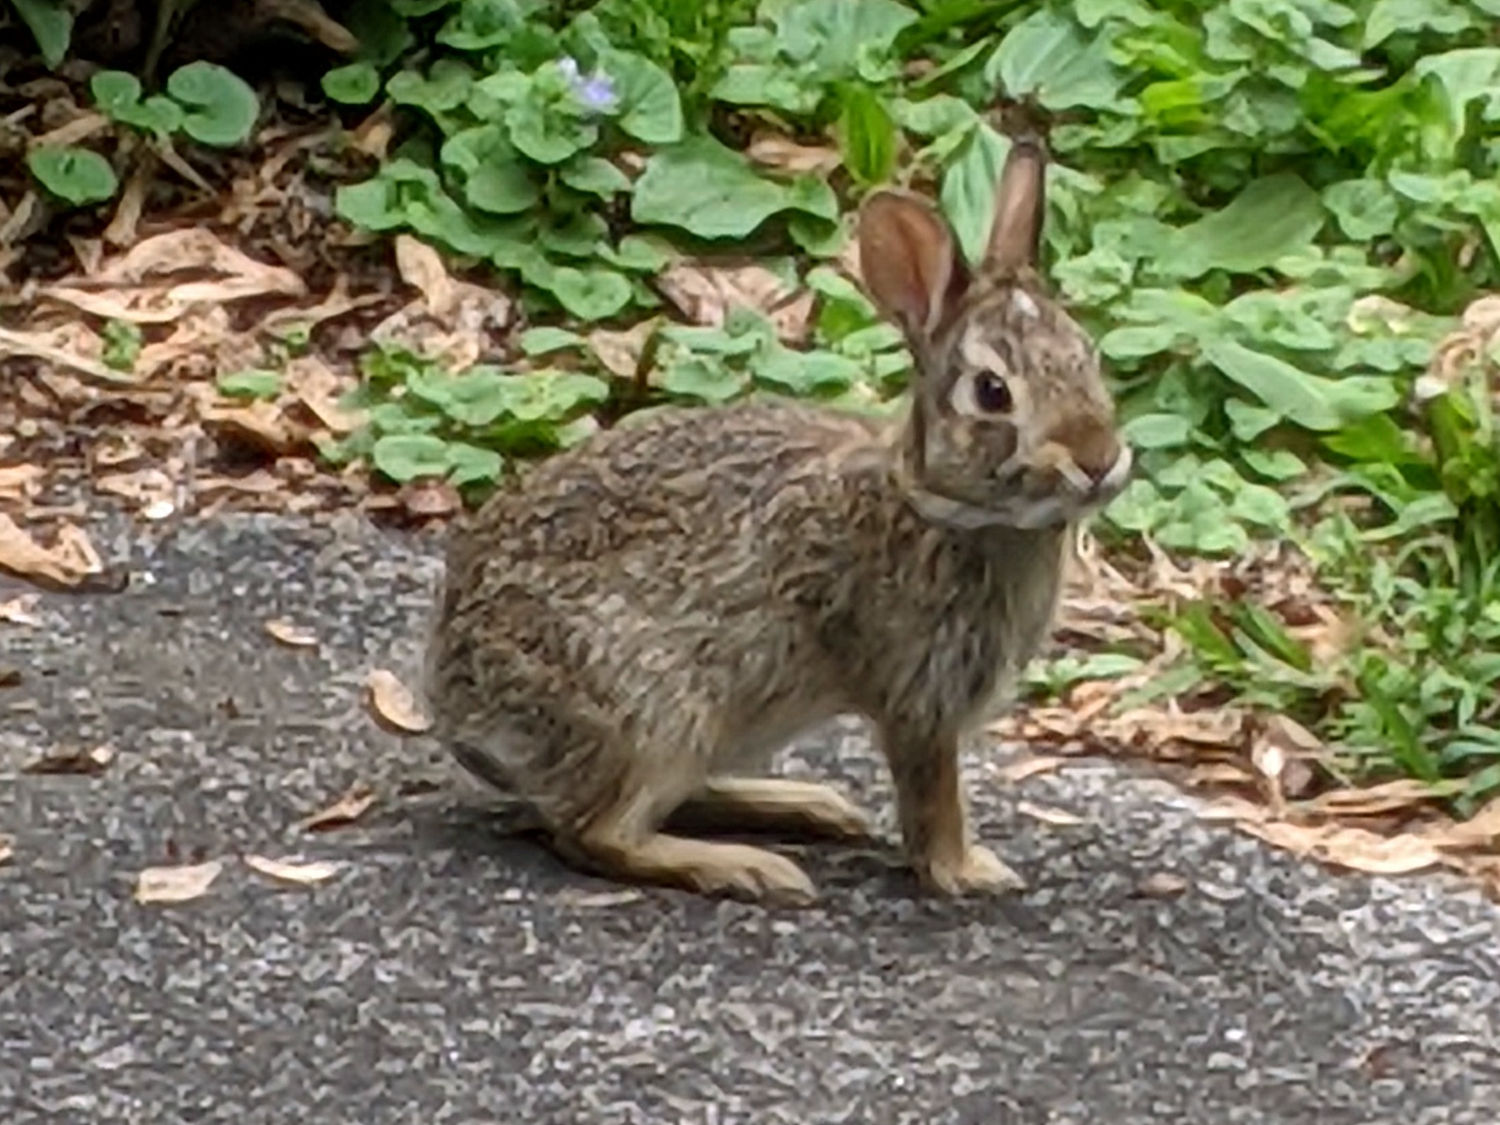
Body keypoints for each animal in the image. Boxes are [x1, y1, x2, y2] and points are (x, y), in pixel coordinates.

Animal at [424, 133, 1131, 905]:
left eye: (1088, 356)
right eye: (993, 392)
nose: (1098, 460)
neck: (940, 505)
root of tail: (457, 700)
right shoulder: (921, 699)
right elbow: (931, 797)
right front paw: (968, 872)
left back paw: (810, 807)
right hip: (654, 714)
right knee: (598, 834)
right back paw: (752, 866)